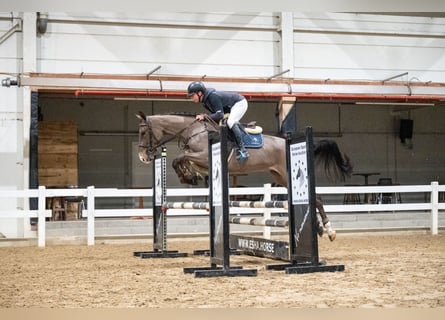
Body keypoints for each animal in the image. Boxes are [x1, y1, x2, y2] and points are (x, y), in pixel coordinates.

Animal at [137, 112, 352, 240]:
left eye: (143, 132)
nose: (143, 157)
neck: (192, 131)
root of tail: (287, 142)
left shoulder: (205, 156)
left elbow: (179, 158)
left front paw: (187, 176)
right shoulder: (201, 162)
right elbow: (182, 161)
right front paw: (188, 176)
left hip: (287, 174)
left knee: (316, 198)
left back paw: (329, 230)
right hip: (281, 177)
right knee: (316, 200)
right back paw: (321, 229)